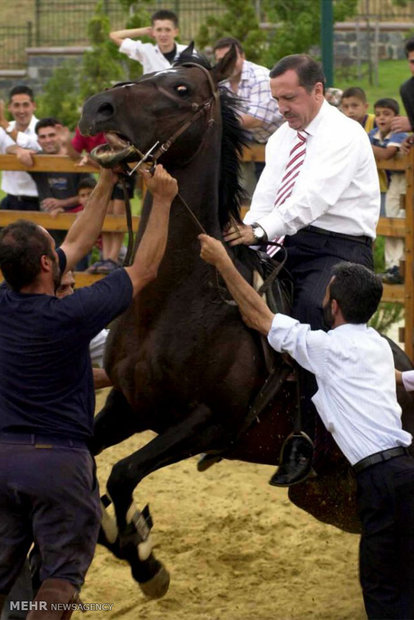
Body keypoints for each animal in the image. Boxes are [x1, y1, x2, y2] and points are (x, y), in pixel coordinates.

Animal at [78, 48, 414, 600]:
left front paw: (145, 557)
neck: (177, 298)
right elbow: (89, 463)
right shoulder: (128, 405)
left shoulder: (208, 422)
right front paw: (128, 542)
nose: (96, 108)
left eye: (181, 89)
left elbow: (123, 474)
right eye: (150, 72)